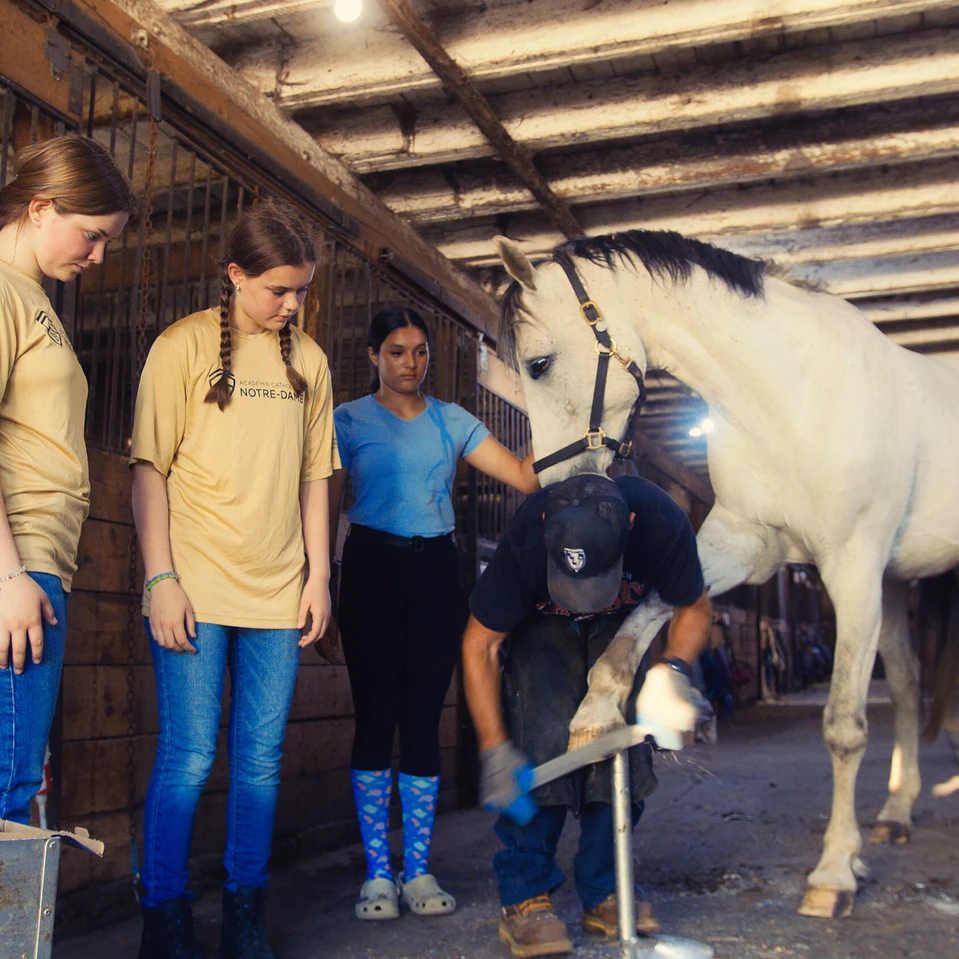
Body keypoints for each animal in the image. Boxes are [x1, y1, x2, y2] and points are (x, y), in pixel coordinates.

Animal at [494, 229, 959, 919]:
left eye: (539, 364)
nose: (555, 490)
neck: (792, 398)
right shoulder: (741, 543)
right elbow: (639, 623)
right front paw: (594, 716)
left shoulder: (852, 565)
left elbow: (844, 727)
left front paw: (833, 874)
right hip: (898, 587)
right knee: (906, 686)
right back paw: (896, 813)